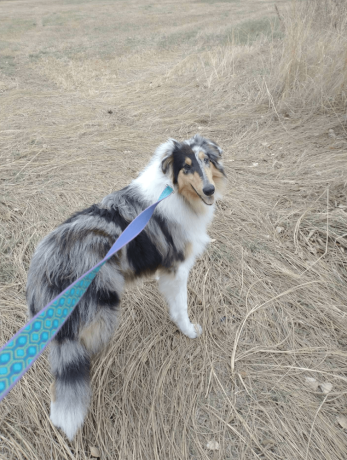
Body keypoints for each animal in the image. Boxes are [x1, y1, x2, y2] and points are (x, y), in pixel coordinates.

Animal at [27, 133, 228, 438]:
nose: (209, 189)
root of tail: (45, 262)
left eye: (206, 160)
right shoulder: (178, 269)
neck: (174, 191)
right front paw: (189, 331)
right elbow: (181, 307)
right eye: (186, 166)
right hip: (100, 315)